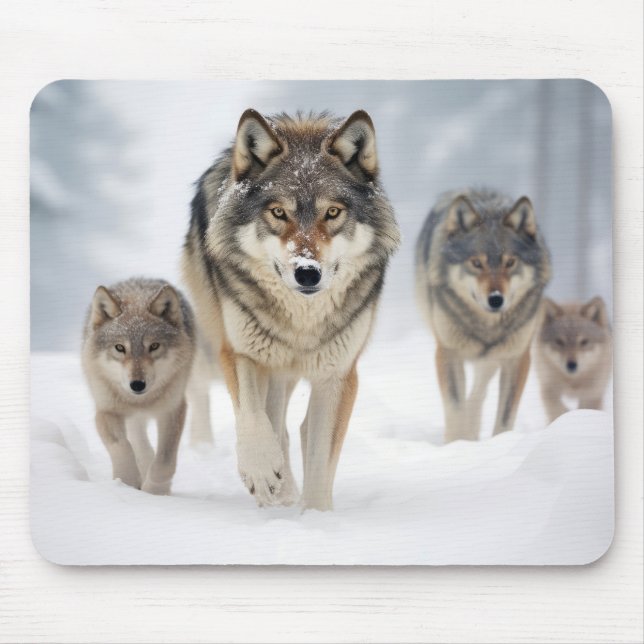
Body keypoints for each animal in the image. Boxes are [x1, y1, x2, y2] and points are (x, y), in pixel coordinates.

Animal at [82, 277, 195, 494]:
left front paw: (155, 492)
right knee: (138, 441)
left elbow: (164, 461)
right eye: (120, 348)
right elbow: (121, 446)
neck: (141, 401)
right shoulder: (106, 411)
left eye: (154, 346)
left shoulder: (173, 410)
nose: (137, 384)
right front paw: (126, 482)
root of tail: (138, 279)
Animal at [183, 109, 400, 510]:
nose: (307, 272)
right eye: (278, 212)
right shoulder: (241, 352)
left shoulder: (338, 374)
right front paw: (261, 474)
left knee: (289, 427)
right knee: (268, 421)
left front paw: (314, 516)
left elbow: (319, 458)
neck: (302, 320)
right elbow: (254, 419)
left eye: (332, 212)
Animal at [415, 189, 551, 442]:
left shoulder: (516, 358)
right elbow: (455, 408)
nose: (496, 299)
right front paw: (457, 443)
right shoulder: (448, 352)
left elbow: (505, 417)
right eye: (477, 263)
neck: (486, 326)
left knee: (480, 389)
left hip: (494, 356)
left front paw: (499, 442)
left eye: (510, 262)